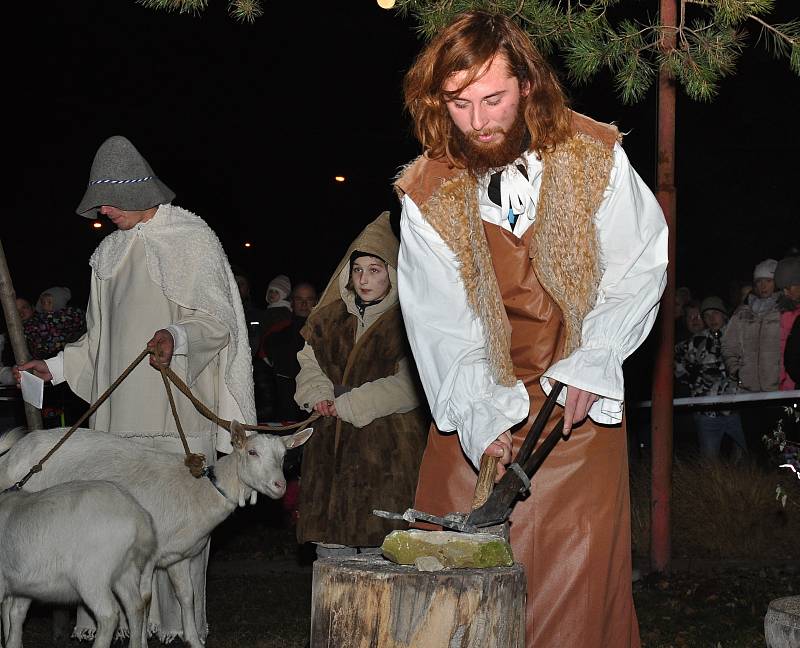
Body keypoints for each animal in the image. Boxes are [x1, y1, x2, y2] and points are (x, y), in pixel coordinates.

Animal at [0, 478, 157, 644]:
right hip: (126, 571)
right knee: (136, 607)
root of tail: (139, 518)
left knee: (108, 615)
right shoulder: (24, 586)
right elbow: (15, 615)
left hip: (91, 575)